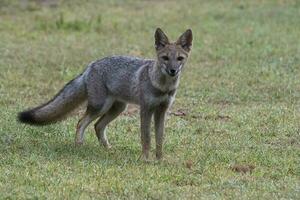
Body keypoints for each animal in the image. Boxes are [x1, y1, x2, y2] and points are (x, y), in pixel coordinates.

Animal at [18, 27, 192, 159]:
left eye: (179, 58)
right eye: (165, 58)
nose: (173, 70)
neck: (163, 86)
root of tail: (91, 65)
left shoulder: (162, 111)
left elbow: (159, 138)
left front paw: (160, 159)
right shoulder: (146, 110)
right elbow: (146, 137)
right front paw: (145, 159)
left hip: (117, 108)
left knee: (97, 126)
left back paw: (107, 149)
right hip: (100, 106)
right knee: (81, 122)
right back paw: (79, 146)